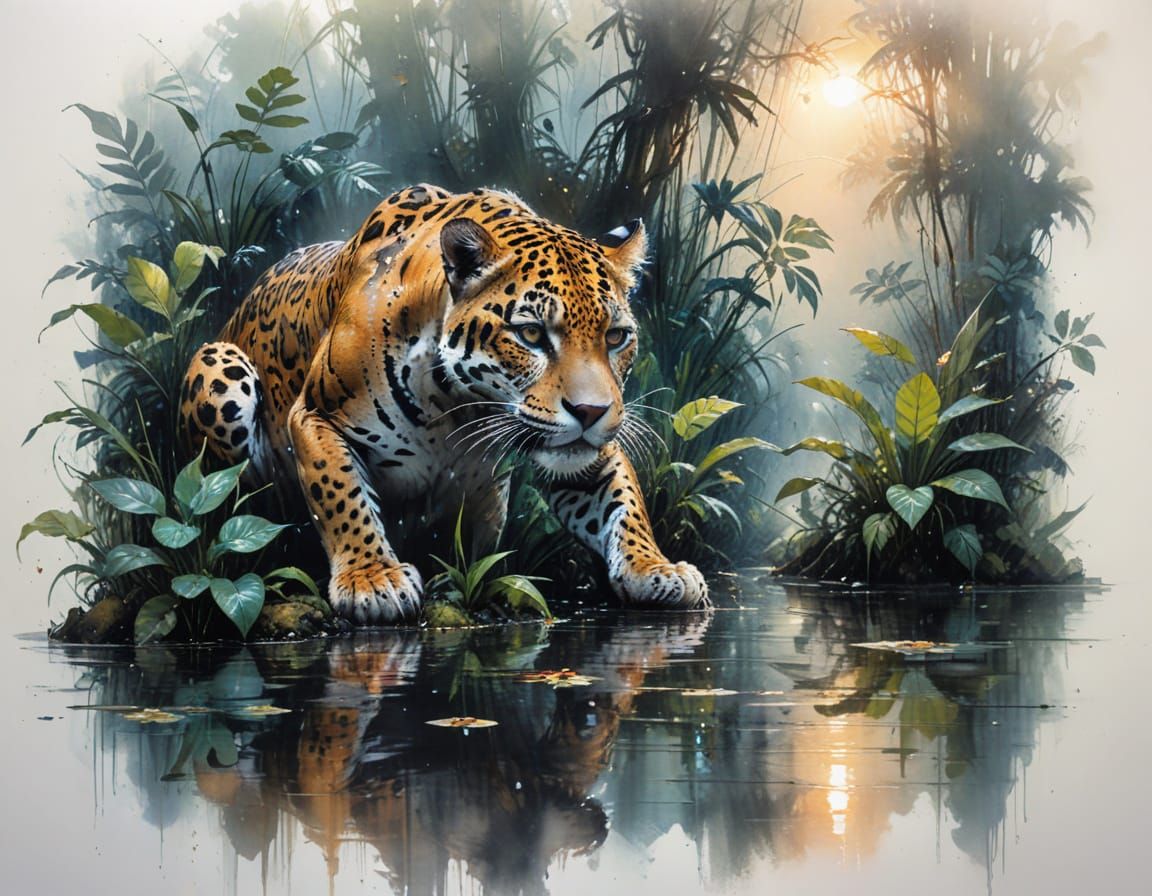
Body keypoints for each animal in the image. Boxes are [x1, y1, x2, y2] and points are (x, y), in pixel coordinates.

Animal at [180, 184, 708, 624]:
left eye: (616, 337)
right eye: (531, 334)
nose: (591, 413)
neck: (455, 407)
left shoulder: (585, 452)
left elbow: (624, 502)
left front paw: (657, 568)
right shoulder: (315, 415)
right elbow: (342, 494)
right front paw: (372, 579)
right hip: (219, 369)